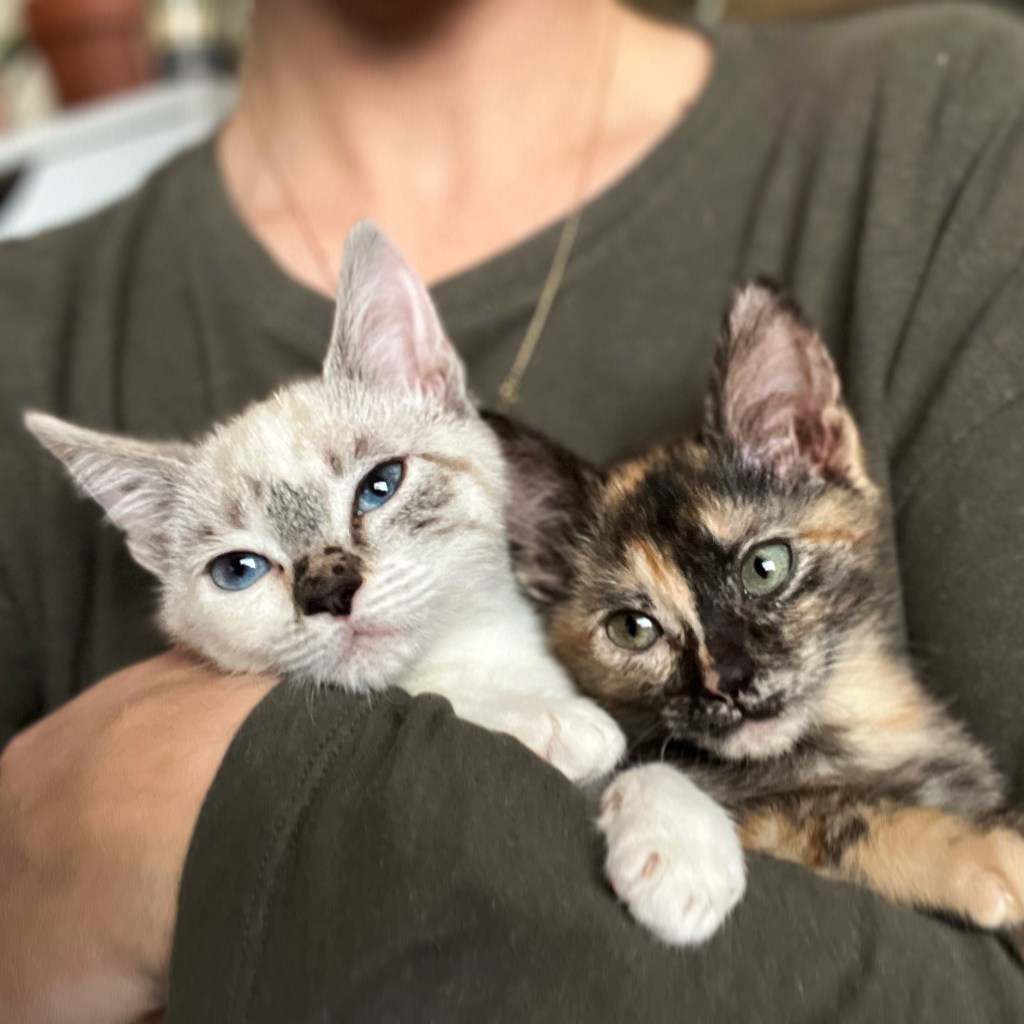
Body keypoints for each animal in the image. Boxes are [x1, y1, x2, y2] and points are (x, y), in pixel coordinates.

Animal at [488, 284, 1024, 958]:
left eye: (765, 567)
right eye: (633, 629)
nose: (730, 681)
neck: (855, 730)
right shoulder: (772, 815)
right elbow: (828, 818)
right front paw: (981, 853)